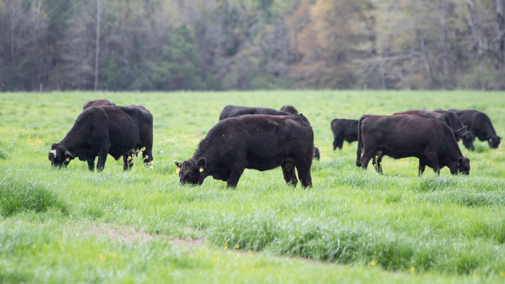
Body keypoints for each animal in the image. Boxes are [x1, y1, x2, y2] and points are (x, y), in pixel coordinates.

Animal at [175, 113, 314, 189]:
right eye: (180, 174)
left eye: (189, 175)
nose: (182, 189)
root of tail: (299, 118)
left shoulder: (237, 166)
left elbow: (231, 185)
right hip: (287, 164)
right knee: (292, 181)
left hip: (304, 161)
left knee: (306, 181)